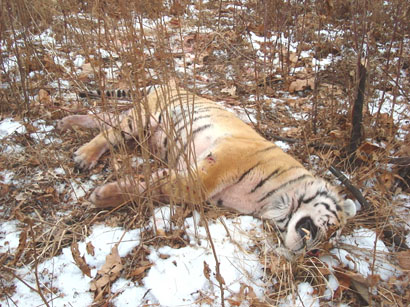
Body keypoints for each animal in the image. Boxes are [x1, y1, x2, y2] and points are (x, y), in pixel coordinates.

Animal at [57, 80, 356, 258]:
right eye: (331, 229)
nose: (312, 250)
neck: (273, 202)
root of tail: (169, 82)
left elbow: (161, 186)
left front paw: (108, 194)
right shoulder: (219, 162)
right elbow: (178, 186)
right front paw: (102, 197)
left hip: (139, 128)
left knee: (104, 118)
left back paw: (67, 122)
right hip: (142, 118)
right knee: (108, 132)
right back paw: (84, 155)